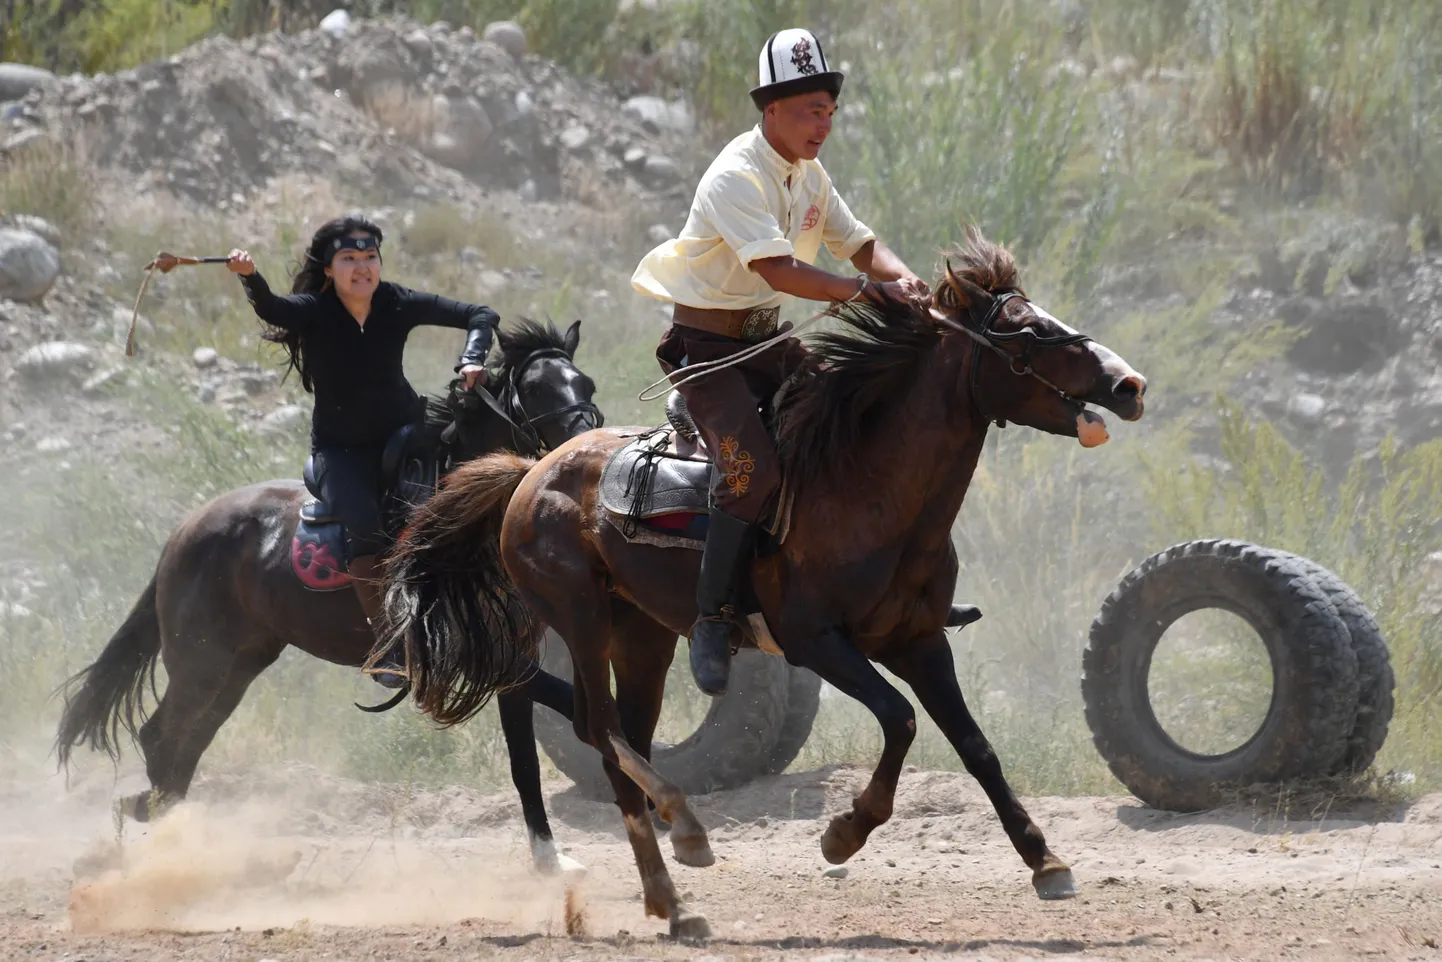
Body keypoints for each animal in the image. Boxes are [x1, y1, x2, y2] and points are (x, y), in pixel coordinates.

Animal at [383, 229, 1147, 934]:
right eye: (1030, 330)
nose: (1129, 385)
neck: (865, 485)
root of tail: (528, 472)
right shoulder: (816, 641)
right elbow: (900, 720)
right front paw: (844, 833)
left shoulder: (921, 642)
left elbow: (976, 746)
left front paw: (1046, 861)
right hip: (580, 618)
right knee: (595, 726)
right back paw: (685, 833)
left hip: (643, 636)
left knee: (620, 744)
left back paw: (670, 898)